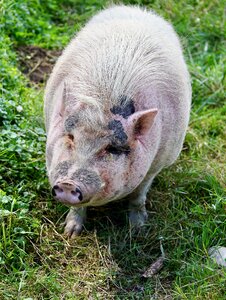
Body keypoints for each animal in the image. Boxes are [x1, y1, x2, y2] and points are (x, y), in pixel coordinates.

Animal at [43, 5, 191, 237]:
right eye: (70, 137)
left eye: (112, 148)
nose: (68, 184)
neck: (104, 102)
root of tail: (137, 9)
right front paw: (70, 233)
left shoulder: (157, 164)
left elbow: (139, 193)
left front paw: (138, 229)